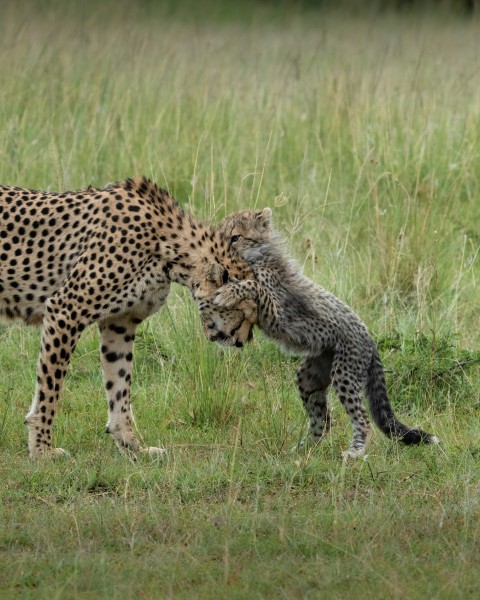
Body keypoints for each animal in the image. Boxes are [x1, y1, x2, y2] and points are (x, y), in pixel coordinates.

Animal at [0, 176, 255, 458]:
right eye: (245, 312)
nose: (244, 341)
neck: (169, 249)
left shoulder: (120, 323)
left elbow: (120, 383)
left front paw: (133, 447)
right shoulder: (65, 309)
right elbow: (50, 388)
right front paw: (42, 451)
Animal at [211, 209, 438, 458]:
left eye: (235, 237)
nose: (218, 251)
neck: (259, 256)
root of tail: (369, 336)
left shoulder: (276, 313)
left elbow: (254, 285)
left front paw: (229, 291)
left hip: (345, 372)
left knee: (362, 419)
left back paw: (355, 452)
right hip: (310, 374)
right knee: (324, 418)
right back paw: (304, 450)